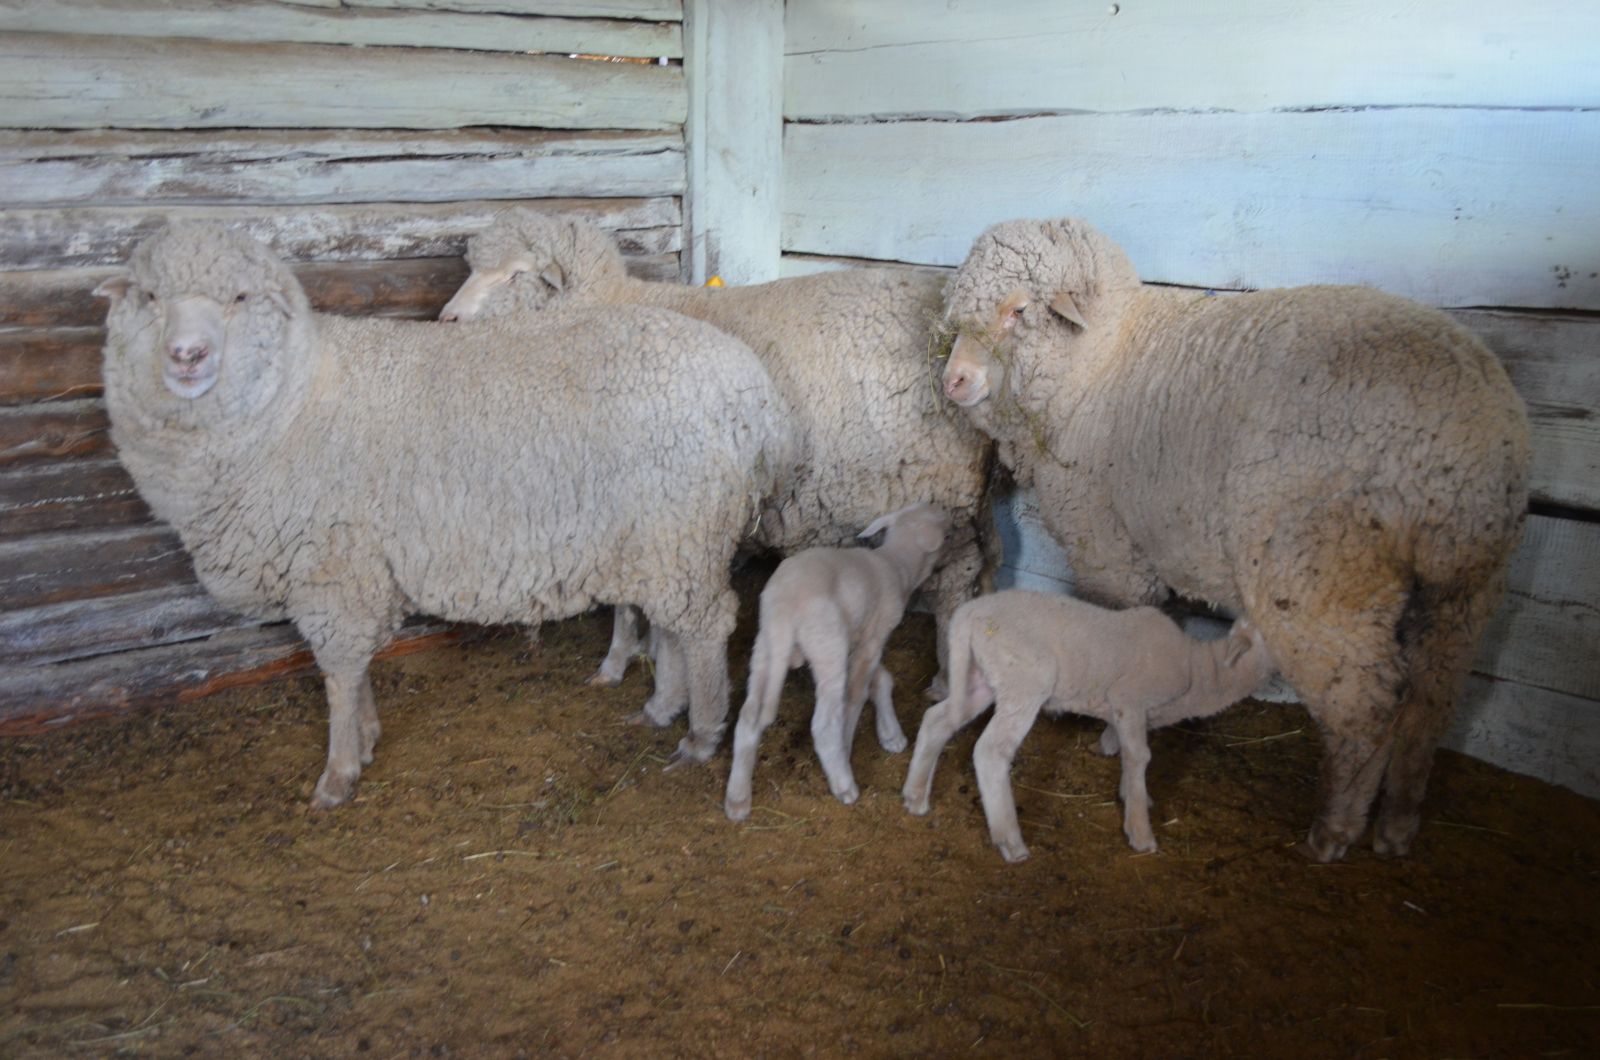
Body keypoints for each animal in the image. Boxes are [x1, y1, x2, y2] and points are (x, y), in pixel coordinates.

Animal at [92, 222, 793, 807]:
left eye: (239, 298)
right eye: (149, 296)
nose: (186, 355)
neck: (291, 398)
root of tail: (750, 384)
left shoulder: (333, 568)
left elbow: (339, 672)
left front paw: (339, 773)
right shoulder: (353, 570)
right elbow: (357, 671)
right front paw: (368, 736)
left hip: (684, 523)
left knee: (707, 625)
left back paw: (702, 733)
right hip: (662, 534)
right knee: (674, 625)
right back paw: (664, 706)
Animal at [432, 212, 992, 701]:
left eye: (515, 274)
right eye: (471, 268)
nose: (446, 319)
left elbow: (624, 603)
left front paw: (619, 659)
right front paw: (623, 661)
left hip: (943, 487)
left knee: (957, 582)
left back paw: (947, 674)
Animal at [723, 499, 947, 819]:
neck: (895, 564)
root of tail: (785, 606)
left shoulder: (861, 637)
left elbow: (881, 679)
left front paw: (891, 734)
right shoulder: (874, 637)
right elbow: (856, 694)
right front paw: (849, 744)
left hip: (764, 648)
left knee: (748, 717)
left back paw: (737, 799)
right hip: (828, 645)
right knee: (823, 723)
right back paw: (843, 783)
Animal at [908, 592, 1267, 871]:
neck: (1199, 669)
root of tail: (967, 615)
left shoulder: (1131, 713)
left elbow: (1125, 751)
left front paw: (1133, 794)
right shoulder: (1129, 698)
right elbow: (1139, 756)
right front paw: (1140, 832)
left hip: (981, 677)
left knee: (937, 720)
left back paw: (915, 796)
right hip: (1025, 678)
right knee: (991, 751)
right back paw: (1010, 841)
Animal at [940, 216, 1529, 864]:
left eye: (1018, 310)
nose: (952, 381)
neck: (1100, 360)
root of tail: (1466, 440)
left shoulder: (1108, 548)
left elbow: (1119, 633)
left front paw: (1113, 738)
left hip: (1323, 582)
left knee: (1369, 705)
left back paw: (1335, 829)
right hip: (1465, 587)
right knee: (1433, 695)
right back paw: (1398, 823)